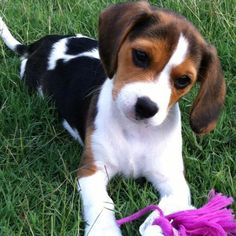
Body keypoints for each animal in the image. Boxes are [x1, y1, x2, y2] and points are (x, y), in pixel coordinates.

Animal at [0, 0, 225, 235]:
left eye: (183, 80)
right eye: (141, 55)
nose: (146, 107)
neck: (135, 130)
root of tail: (40, 45)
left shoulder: (175, 183)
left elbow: (166, 212)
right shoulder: (92, 170)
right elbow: (102, 204)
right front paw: (104, 229)